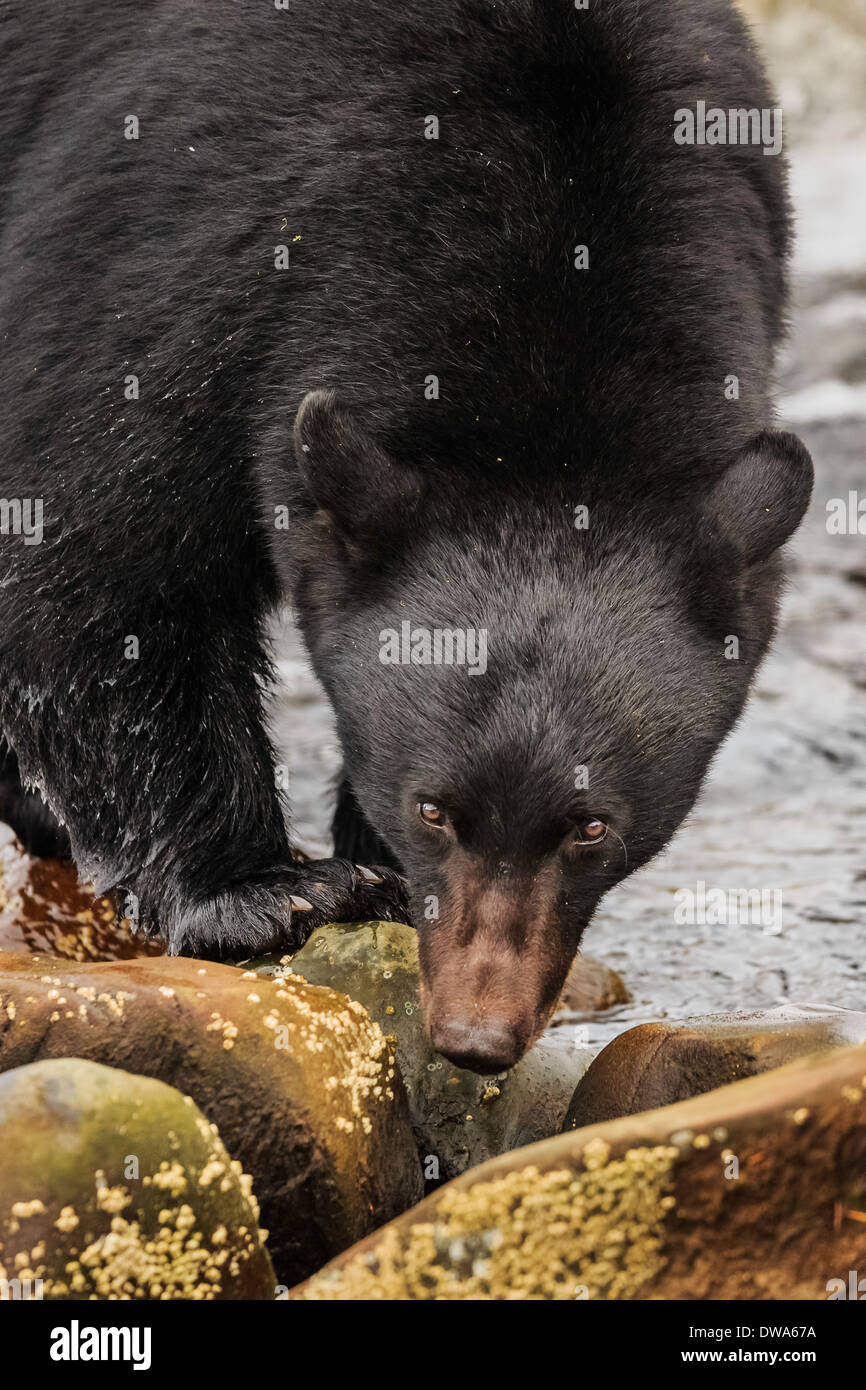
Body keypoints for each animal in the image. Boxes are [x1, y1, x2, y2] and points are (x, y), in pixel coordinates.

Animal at [0, 0, 811, 1073]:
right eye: (434, 808)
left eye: (591, 827)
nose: (476, 1038)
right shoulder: (171, 243)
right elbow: (100, 556)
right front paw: (264, 889)